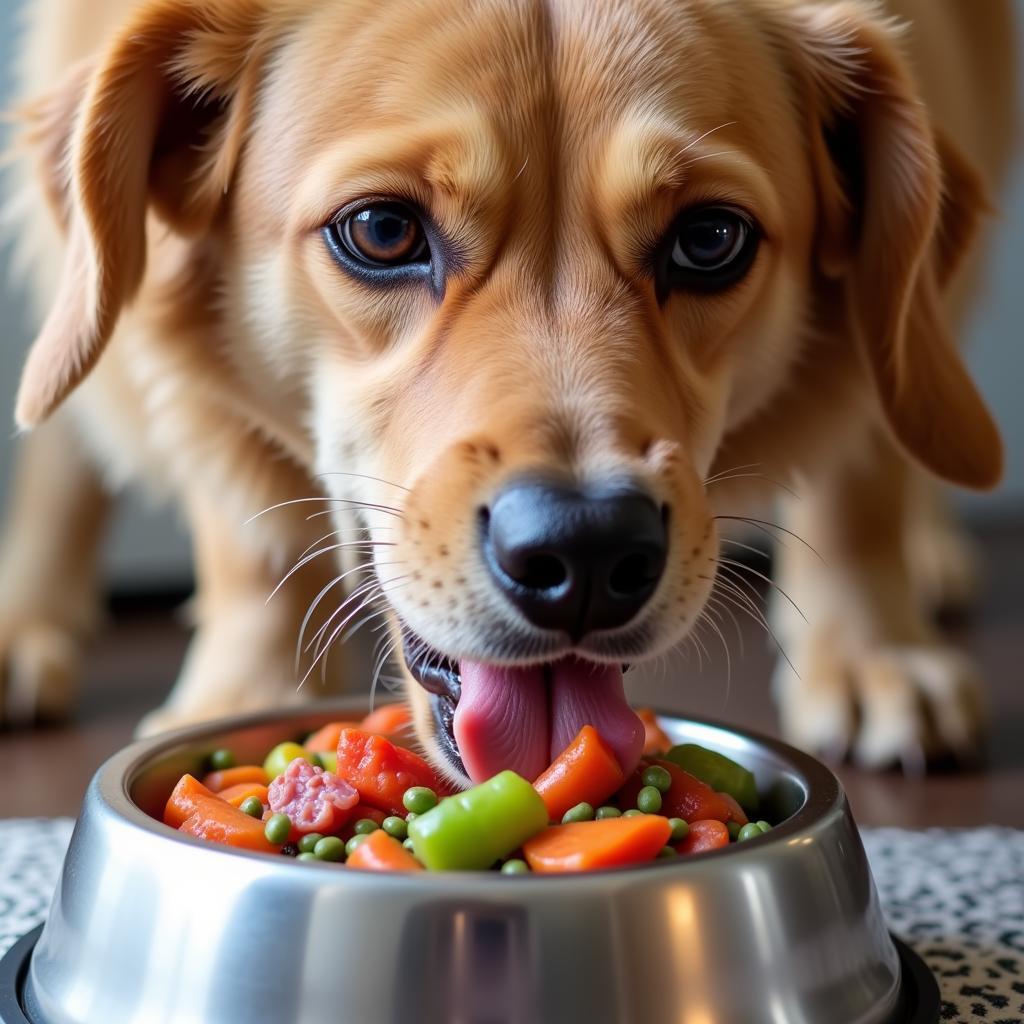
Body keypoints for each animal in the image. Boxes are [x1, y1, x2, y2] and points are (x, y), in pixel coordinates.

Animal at [0, 0, 1011, 782]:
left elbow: (862, 480)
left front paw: (876, 654)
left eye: (710, 239)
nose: (588, 554)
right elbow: (244, 528)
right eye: (380, 230)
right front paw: (249, 690)